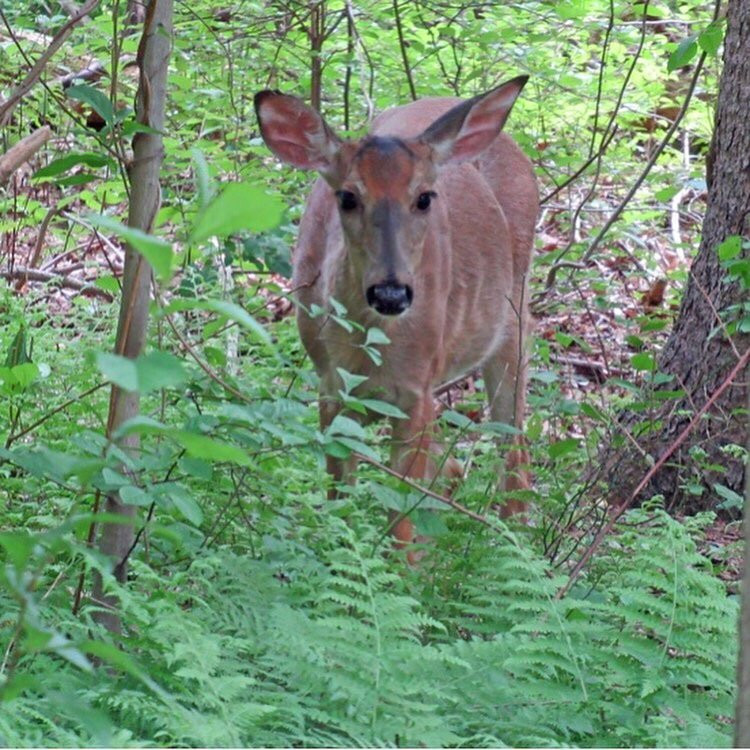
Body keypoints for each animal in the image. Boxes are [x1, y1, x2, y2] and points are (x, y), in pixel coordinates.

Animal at [256, 76, 536, 560]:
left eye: (423, 197)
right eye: (348, 196)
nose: (390, 292)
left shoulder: (415, 392)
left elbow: (399, 520)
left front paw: (401, 571)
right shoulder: (332, 389)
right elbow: (341, 504)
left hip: (513, 321)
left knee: (513, 448)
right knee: (455, 465)